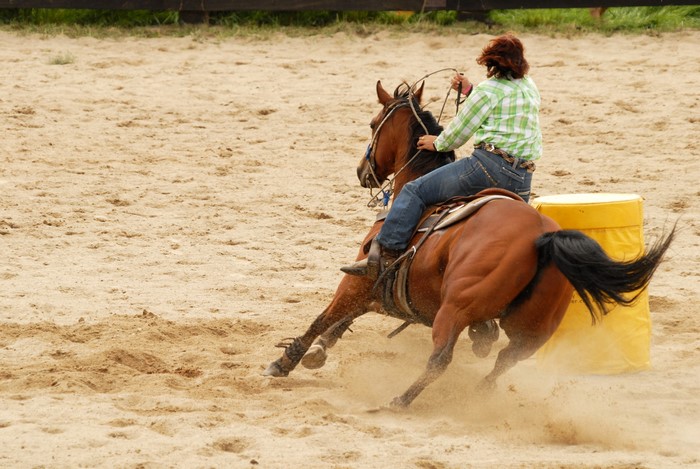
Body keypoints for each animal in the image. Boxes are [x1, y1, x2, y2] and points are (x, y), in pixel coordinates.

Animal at [263, 80, 674, 408]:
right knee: (504, 361)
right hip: (532, 329)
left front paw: (286, 361)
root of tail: (541, 236)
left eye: (372, 124)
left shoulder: (359, 280)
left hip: (455, 309)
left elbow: (326, 316)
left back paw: (401, 400)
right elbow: (342, 321)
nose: (363, 172)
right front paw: (317, 353)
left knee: (440, 358)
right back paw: (477, 393)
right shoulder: (387, 294)